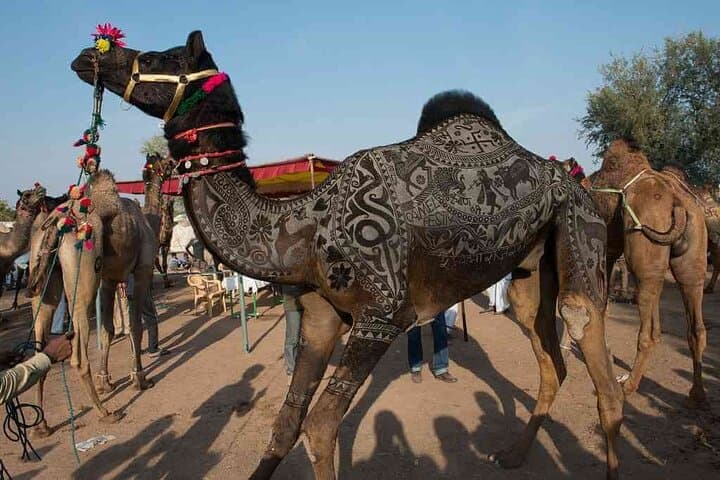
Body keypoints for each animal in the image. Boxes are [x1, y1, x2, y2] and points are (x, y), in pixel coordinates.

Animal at [28, 168, 160, 434]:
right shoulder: (141, 270)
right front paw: (139, 378)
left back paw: (42, 426)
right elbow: (134, 326)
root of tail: (55, 225)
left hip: (45, 280)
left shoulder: (109, 280)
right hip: (83, 275)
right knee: (78, 355)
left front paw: (106, 382)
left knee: (39, 345)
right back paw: (106, 412)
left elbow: (108, 330)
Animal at [72, 32, 623, 479]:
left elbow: (319, 428)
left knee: (594, 355)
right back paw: (510, 455)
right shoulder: (321, 318)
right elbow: (288, 419)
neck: (303, 229)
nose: (89, 55)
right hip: (531, 270)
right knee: (550, 358)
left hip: (581, 233)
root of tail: (571, 179)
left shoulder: (382, 315)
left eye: (156, 56)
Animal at [588, 140, 708, 405]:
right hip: (689, 258)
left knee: (647, 327)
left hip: (645, 241)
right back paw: (697, 393)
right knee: (693, 320)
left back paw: (628, 386)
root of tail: (678, 204)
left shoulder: (604, 249)